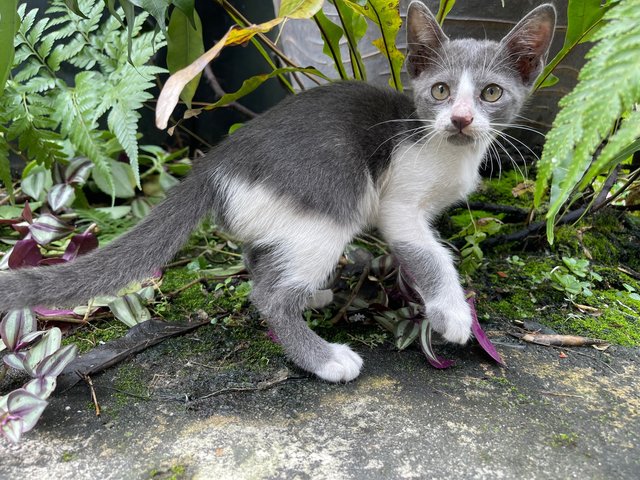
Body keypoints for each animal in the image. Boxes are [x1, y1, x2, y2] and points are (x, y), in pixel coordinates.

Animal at [0, 0, 556, 382]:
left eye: (491, 93)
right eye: (440, 91)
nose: (461, 120)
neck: (444, 147)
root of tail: (215, 162)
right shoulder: (398, 201)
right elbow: (430, 253)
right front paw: (453, 313)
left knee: (261, 254)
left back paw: (312, 292)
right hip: (333, 193)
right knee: (268, 296)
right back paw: (323, 357)